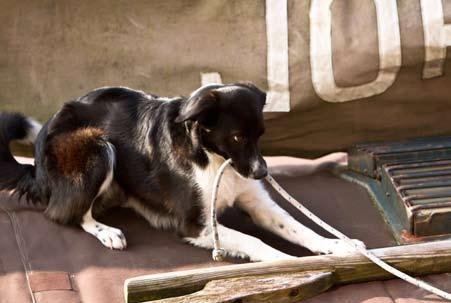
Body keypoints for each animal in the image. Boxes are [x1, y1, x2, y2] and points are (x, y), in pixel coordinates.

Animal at [0, 84, 362, 262]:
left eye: (260, 134)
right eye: (237, 137)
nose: (261, 173)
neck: (211, 156)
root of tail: (36, 169)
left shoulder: (258, 202)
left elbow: (300, 228)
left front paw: (338, 245)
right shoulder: (195, 225)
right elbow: (254, 239)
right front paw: (283, 261)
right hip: (95, 147)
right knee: (65, 213)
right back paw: (106, 231)